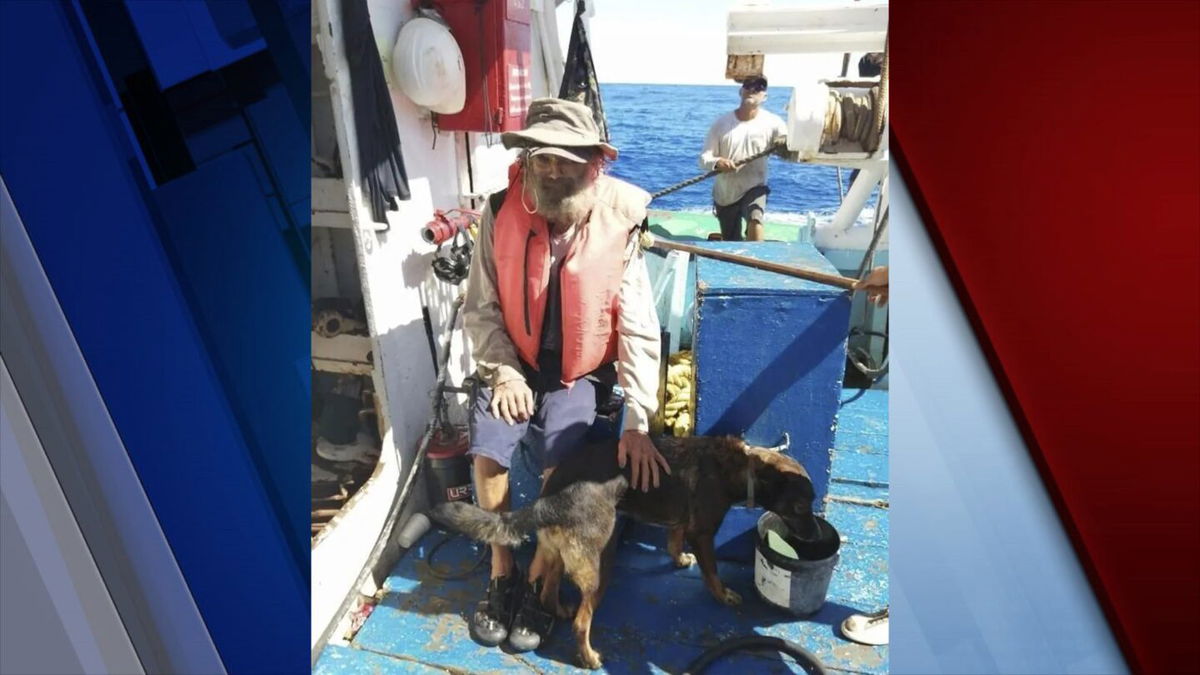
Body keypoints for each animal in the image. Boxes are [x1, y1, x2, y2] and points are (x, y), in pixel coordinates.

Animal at [429, 432, 816, 662]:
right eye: (800, 507)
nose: (813, 537)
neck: (741, 467)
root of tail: (549, 500)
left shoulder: (681, 522)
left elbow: (673, 540)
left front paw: (679, 559)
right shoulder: (703, 532)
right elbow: (712, 573)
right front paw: (724, 596)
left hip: (558, 554)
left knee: (548, 591)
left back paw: (560, 609)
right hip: (601, 564)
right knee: (582, 622)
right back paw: (588, 657)